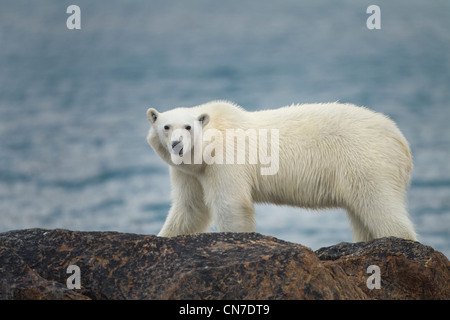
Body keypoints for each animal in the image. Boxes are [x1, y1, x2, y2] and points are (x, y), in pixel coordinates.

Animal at [146, 99, 416, 240]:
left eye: (188, 127)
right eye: (166, 126)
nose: (177, 145)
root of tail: (401, 140)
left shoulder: (226, 160)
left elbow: (230, 204)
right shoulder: (189, 172)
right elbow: (190, 208)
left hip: (366, 160)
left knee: (378, 205)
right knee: (362, 216)